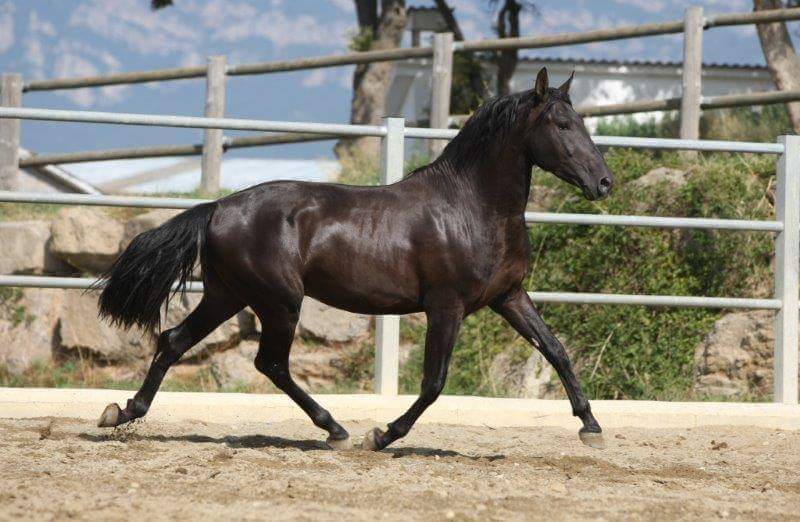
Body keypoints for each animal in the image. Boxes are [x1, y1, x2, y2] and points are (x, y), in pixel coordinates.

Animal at [95, 67, 613, 451]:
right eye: (562, 125)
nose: (604, 183)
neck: (471, 207)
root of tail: (218, 207)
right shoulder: (446, 306)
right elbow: (434, 382)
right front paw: (382, 435)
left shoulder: (509, 296)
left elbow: (556, 350)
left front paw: (590, 426)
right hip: (279, 301)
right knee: (270, 363)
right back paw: (337, 430)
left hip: (229, 295)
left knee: (174, 341)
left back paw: (122, 413)